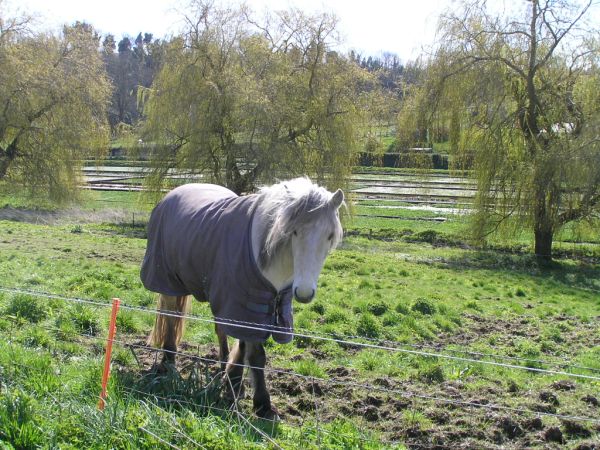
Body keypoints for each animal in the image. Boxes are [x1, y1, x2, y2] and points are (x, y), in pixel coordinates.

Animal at [141, 176, 344, 418]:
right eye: (294, 232)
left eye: (329, 236)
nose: (304, 292)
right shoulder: (245, 306)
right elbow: (255, 355)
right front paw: (257, 401)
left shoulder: (255, 307)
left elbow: (246, 348)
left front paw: (237, 386)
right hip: (169, 281)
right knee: (171, 319)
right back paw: (168, 365)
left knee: (219, 330)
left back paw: (221, 368)